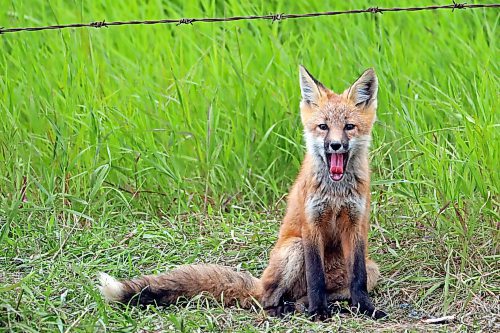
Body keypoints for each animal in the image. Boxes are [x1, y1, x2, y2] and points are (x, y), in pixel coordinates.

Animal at [97, 65, 386, 320]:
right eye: (323, 127)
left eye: (349, 127)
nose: (336, 145)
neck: (336, 192)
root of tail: (261, 282)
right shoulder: (311, 224)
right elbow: (316, 278)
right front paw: (319, 312)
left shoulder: (356, 225)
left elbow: (358, 279)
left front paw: (365, 309)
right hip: (294, 248)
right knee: (267, 299)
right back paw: (283, 310)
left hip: (372, 269)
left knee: (308, 294)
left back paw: (307, 306)